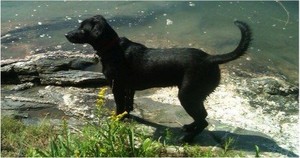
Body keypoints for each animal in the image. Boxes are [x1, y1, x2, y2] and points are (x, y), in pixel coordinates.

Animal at [66, 15, 253, 142]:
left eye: (82, 29)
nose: (67, 35)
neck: (112, 48)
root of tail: (210, 58)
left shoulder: (117, 85)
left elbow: (120, 105)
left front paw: (117, 119)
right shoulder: (128, 87)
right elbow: (128, 104)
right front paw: (127, 116)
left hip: (187, 95)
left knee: (203, 120)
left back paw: (187, 138)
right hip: (194, 96)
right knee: (203, 116)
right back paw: (189, 127)